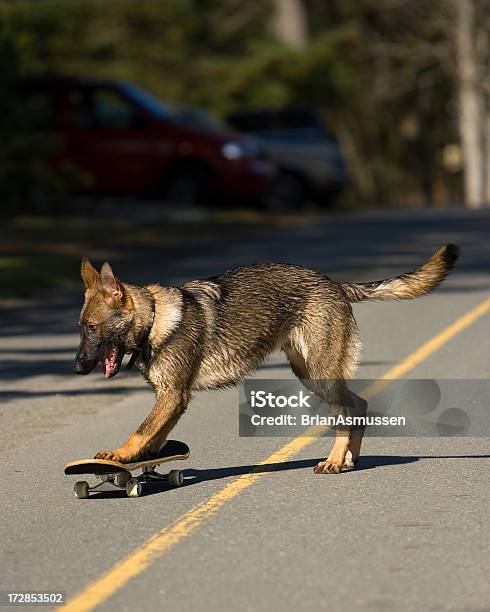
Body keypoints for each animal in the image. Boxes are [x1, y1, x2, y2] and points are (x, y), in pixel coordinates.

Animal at [73, 244, 460, 474]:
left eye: (91, 328)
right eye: (80, 328)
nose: (76, 368)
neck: (155, 318)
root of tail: (333, 283)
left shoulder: (173, 396)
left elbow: (140, 431)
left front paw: (120, 456)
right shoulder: (172, 400)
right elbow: (154, 435)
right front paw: (143, 462)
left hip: (320, 374)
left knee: (347, 411)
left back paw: (335, 460)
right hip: (311, 374)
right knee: (359, 406)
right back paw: (349, 459)